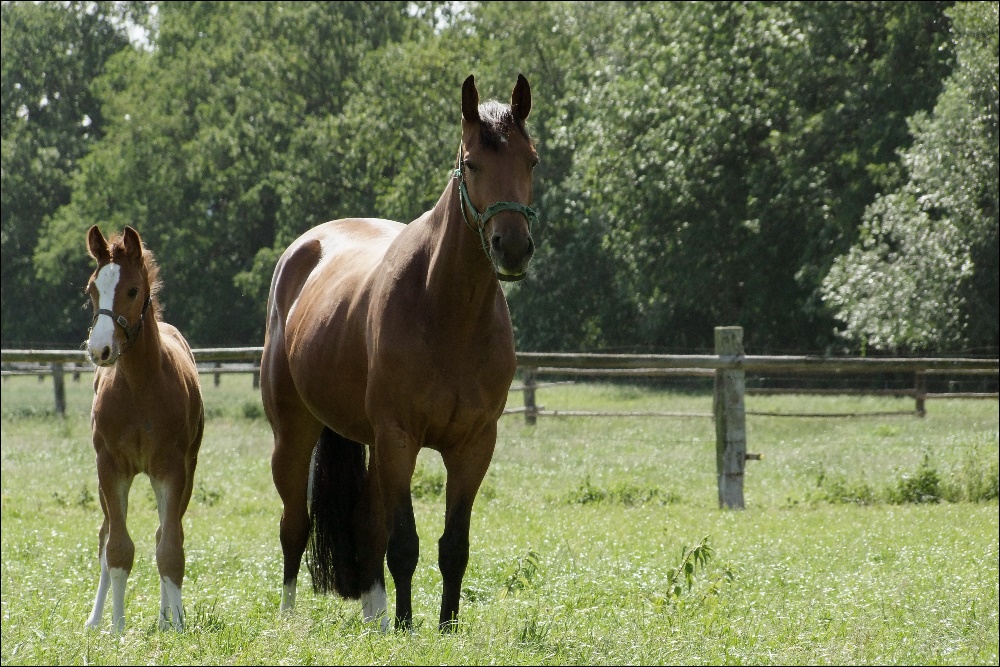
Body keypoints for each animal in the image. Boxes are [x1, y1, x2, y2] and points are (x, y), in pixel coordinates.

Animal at [84, 227, 205, 636]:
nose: (99, 349)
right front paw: (116, 627)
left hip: (183, 471)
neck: (139, 386)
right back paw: (95, 619)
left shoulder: (171, 469)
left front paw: (178, 623)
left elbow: (169, 547)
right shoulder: (110, 467)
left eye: (133, 290)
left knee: (165, 533)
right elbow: (117, 548)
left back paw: (166, 617)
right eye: (92, 290)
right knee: (105, 535)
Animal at [262, 73, 536, 632]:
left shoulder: (474, 446)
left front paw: (447, 626)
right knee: (294, 525)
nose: (513, 247)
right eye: (471, 162)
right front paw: (411, 627)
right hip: (294, 432)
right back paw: (291, 616)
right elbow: (405, 544)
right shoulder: (399, 438)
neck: (446, 312)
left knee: (366, 524)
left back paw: (376, 618)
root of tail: (304, 249)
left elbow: (453, 546)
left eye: (533, 161)